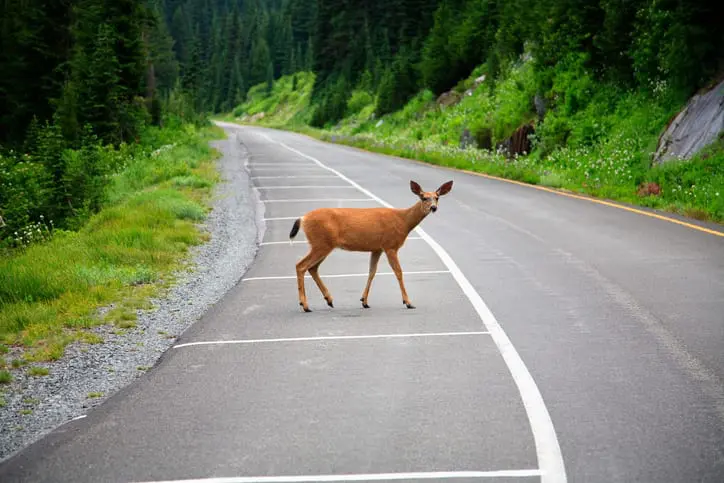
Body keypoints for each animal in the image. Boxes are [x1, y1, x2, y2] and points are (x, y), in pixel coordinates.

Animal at [288, 180, 452, 312]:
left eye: (437, 197)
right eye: (424, 198)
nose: (433, 208)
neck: (403, 221)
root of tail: (302, 219)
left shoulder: (377, 248)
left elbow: (372, 272)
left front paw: (364, 301)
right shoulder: (390, 245)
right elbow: (398, 272)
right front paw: (408, 302)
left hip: (324, 245)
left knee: (312, 268)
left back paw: (329, 300)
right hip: (321, 243)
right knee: (301, 265)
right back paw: (305, 305)